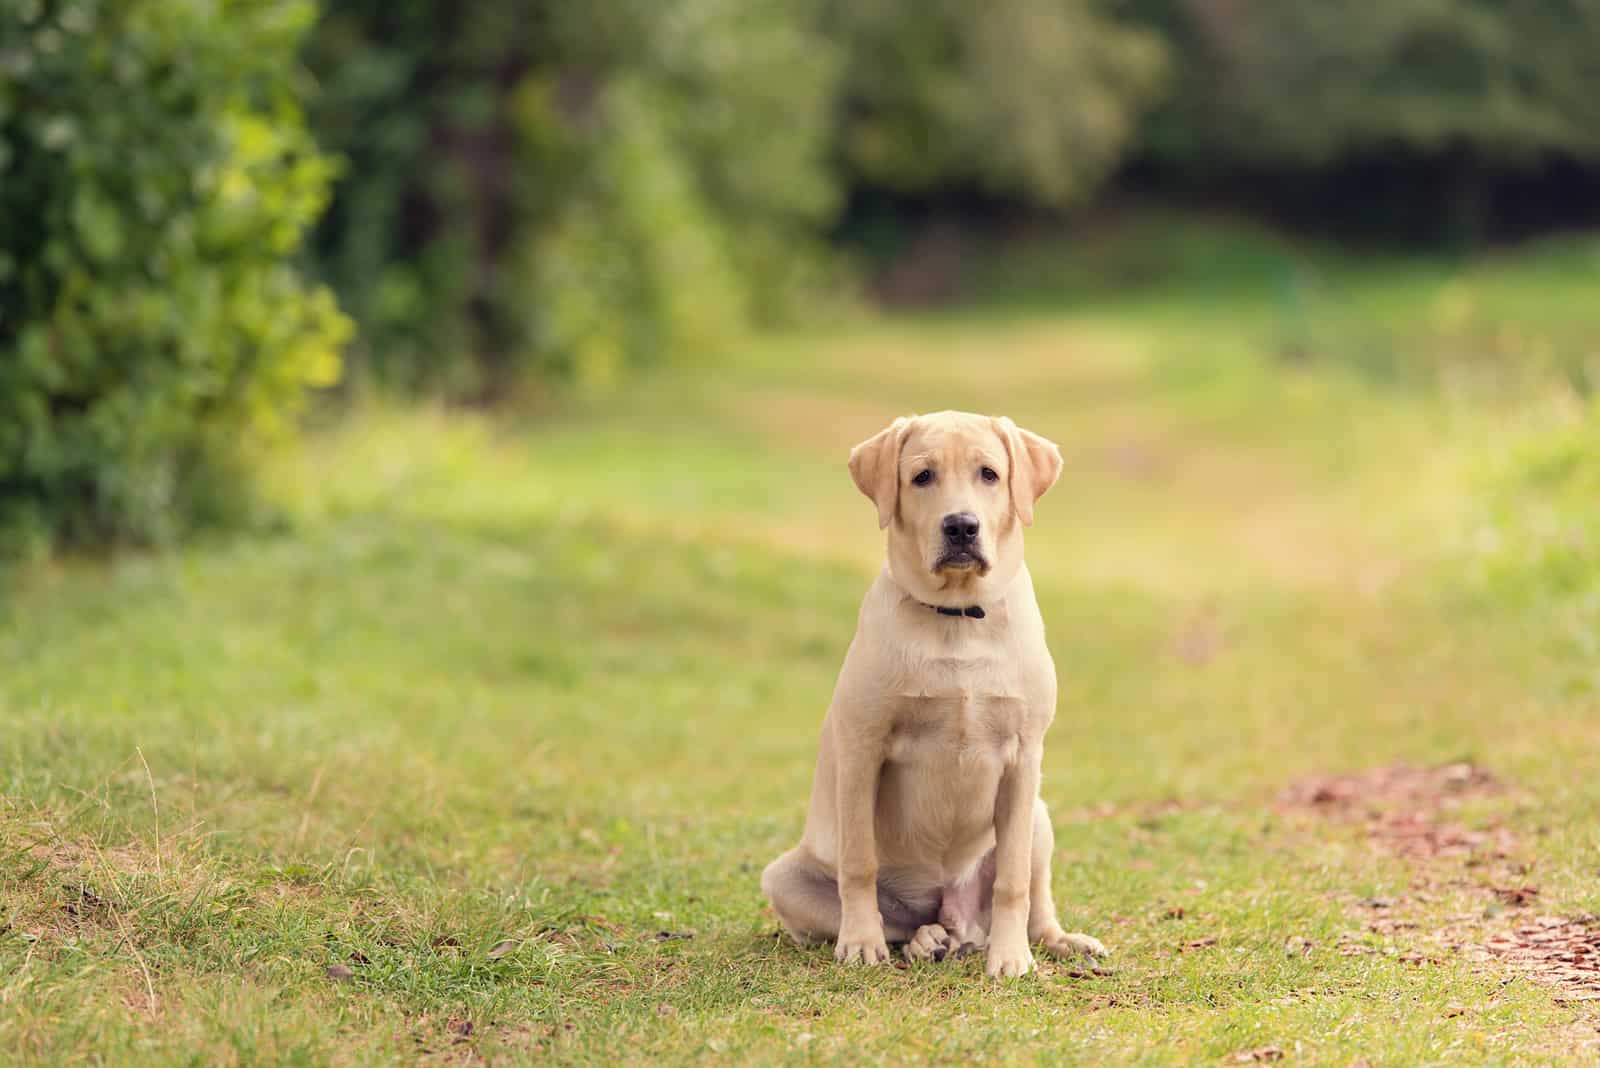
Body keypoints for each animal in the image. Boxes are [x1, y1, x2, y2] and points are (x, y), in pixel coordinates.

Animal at [758, 409, 1107, 978]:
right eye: (922, 476)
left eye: (989, 474)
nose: (961, 526)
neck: (958, 617)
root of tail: (953, 909)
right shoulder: (862, 749)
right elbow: (860, 862)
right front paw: (860, 942)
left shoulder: (1024, 758)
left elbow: (1013, 882)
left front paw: (1011, 958)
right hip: (785, 878)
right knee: (902, 920)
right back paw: (925, 941)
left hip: (1038, 816)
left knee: (1032, 903)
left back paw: (1053, 941)